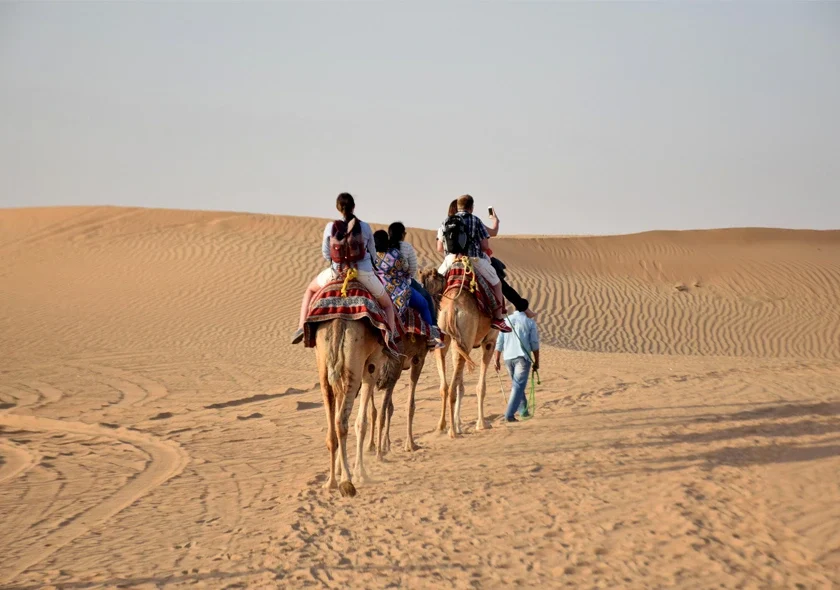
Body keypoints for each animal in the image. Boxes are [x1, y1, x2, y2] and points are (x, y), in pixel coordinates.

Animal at [315, 318, 386, 497]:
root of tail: (338, 324)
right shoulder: (373, 362)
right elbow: (361, 423)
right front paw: (361, 474)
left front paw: (340, 469)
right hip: (354, 364)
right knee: (342, 421)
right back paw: (346, 482)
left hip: (323, 364)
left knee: (332, 428)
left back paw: (331, 482)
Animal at [419, 267, 498, 438]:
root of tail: (451, 308)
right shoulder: (489, 341)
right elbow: (481, 387)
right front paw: (482, 424)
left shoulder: (458, 344)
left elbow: (461, 386)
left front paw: (458, 423)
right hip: (467, 340)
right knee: (453, 387)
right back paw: (453, 432)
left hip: (448, 339)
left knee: (445, 387)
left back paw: (442, 426)